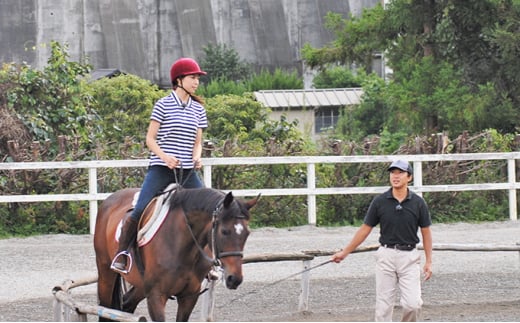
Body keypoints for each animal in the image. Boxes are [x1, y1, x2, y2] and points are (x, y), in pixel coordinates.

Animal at [94, 187, 260, 322]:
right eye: (224, 231)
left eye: (247, 233)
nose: (235, 279)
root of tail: (110, 199)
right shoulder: (156, 296)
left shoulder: (189, 296)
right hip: (106, 273)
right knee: (104, 309)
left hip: (141, 284)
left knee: (127, 303)